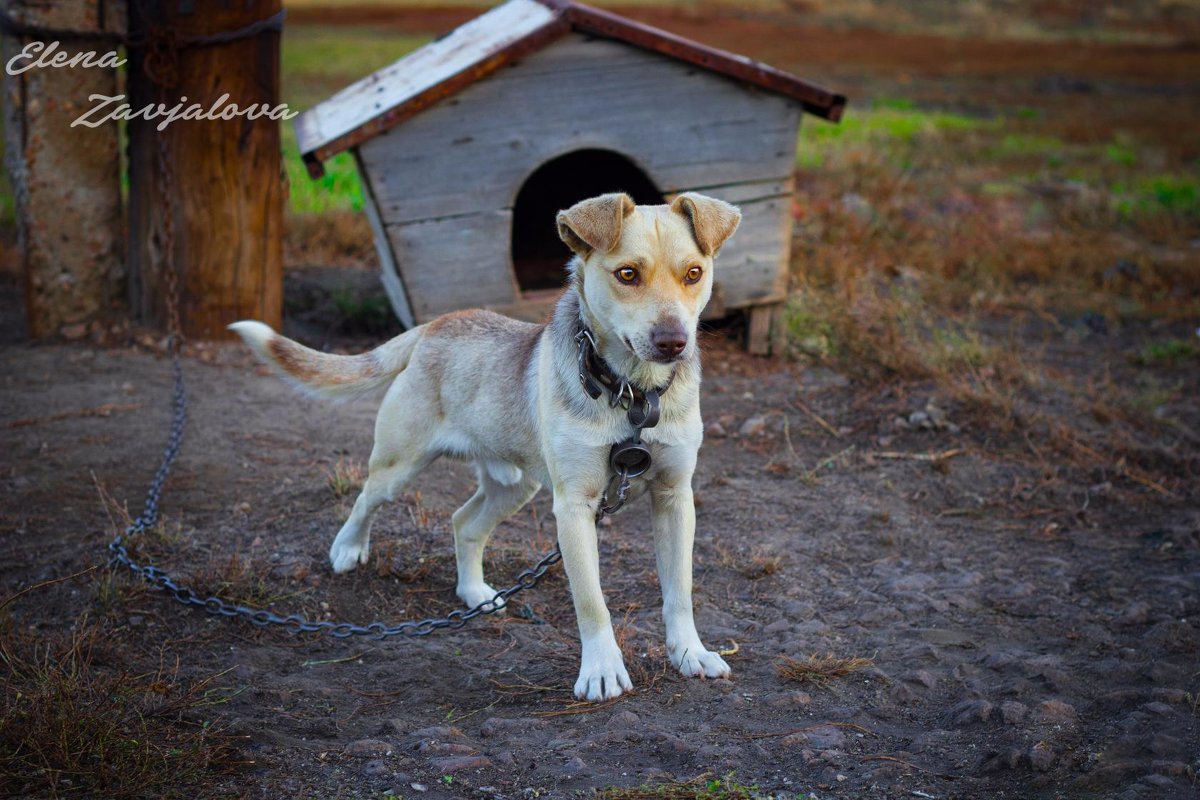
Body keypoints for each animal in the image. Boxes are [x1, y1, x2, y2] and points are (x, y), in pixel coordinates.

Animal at [230, 190, 739, 695]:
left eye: (694, 273)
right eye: (627, 274)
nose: (674, 342)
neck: (634, 395)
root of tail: (436, 324)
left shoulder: (674, 497)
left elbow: (679, 591)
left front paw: (689, 653)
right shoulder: (574, 506)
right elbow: (591, 602)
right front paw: (601, 671)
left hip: (514, 486)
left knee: (464, 523)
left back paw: (475, 593)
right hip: (399, 465)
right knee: (366, 500)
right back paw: (348, 549)